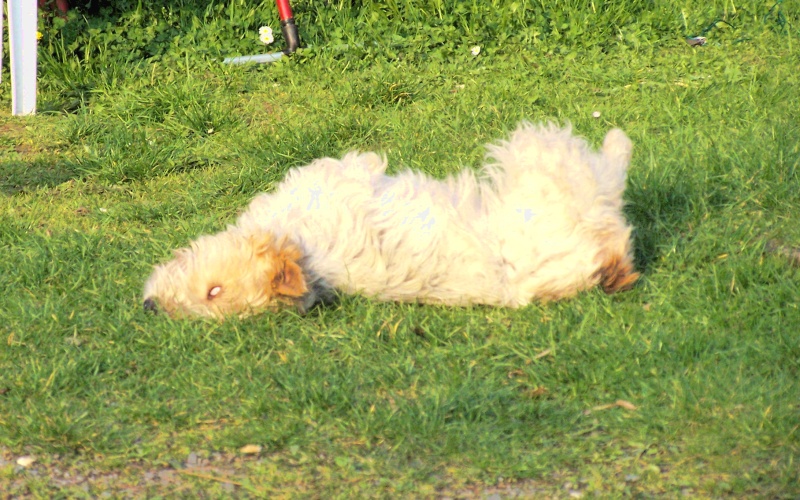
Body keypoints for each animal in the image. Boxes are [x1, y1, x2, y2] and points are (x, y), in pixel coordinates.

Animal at [142, 121, 636, 318]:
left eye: (214, 291)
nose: (151, 307)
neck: (307, 254)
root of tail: (600, 267)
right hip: (545, 159)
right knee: (612, 179)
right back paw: (619, 141)